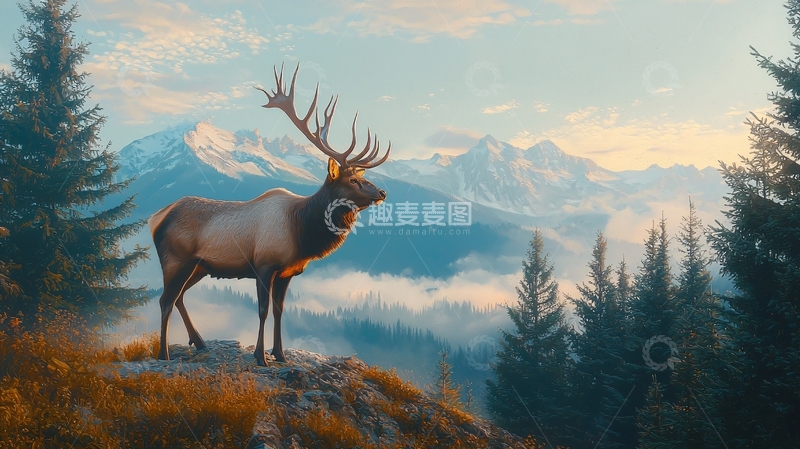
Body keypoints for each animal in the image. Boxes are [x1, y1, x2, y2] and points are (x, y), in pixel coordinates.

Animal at [148, 63, 390, 366]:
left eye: (362, 177)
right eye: (353, 180)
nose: (382, 192)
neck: (302, 232)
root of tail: (156, 218)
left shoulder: (288, 272)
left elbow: (279, 311)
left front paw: (281, 354)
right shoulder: (264, 264)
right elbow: (262, 310)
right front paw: (261, 356)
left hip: (198, 266)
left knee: (179, 297)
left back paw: (200, 341)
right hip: (175, 259)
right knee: (165, 300)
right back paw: (164, 354)